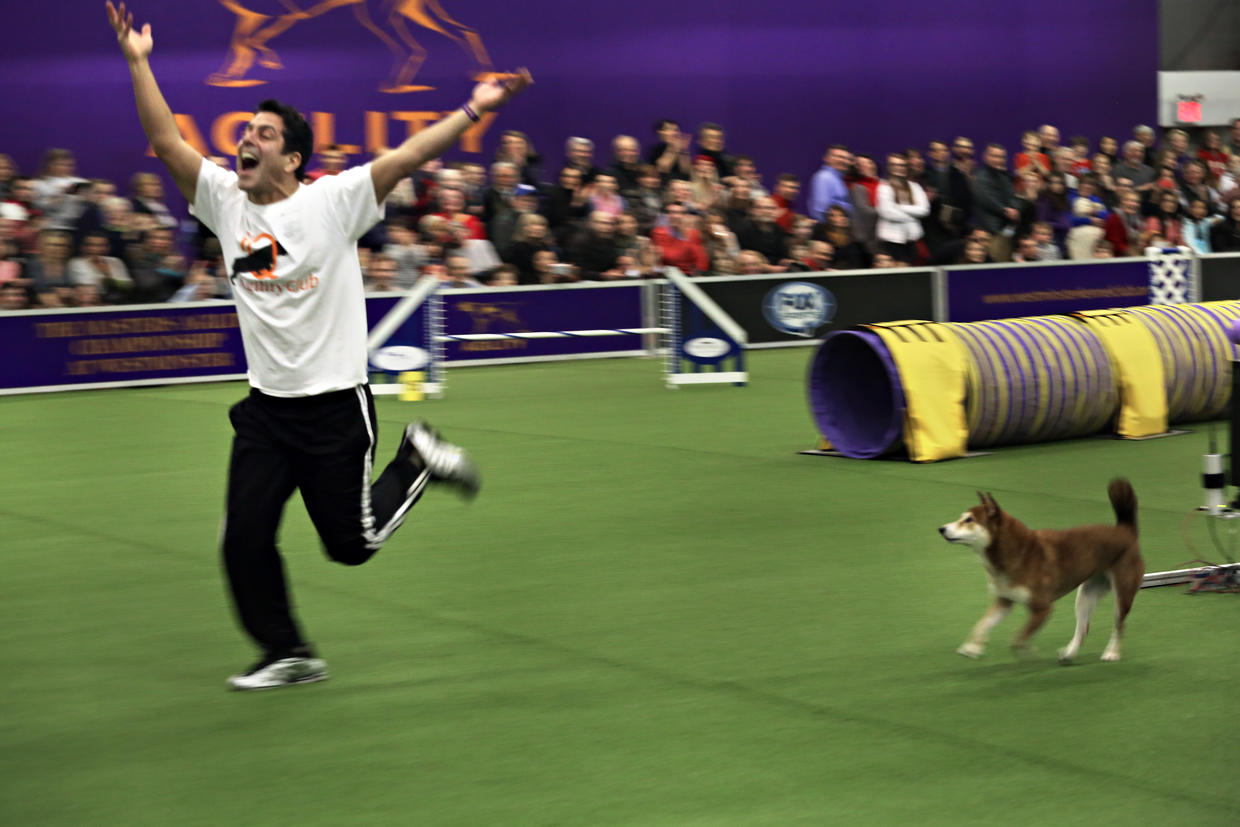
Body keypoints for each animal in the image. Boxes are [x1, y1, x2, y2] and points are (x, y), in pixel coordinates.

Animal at [937, 481, 1140, 664]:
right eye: (961, 518)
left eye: (969, 520)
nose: (941, 529)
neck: (1018, 552)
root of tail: (1125, 530)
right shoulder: (1004, 601)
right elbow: (982, 624)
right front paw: (973, 647)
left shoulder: (1042, 608)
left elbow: (1018, 639)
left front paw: (1027, 651)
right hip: (1086, 596)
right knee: (1083, 628)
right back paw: (1069, 654)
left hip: (1122, 594)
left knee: (1120, 625)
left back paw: (1112, 653)